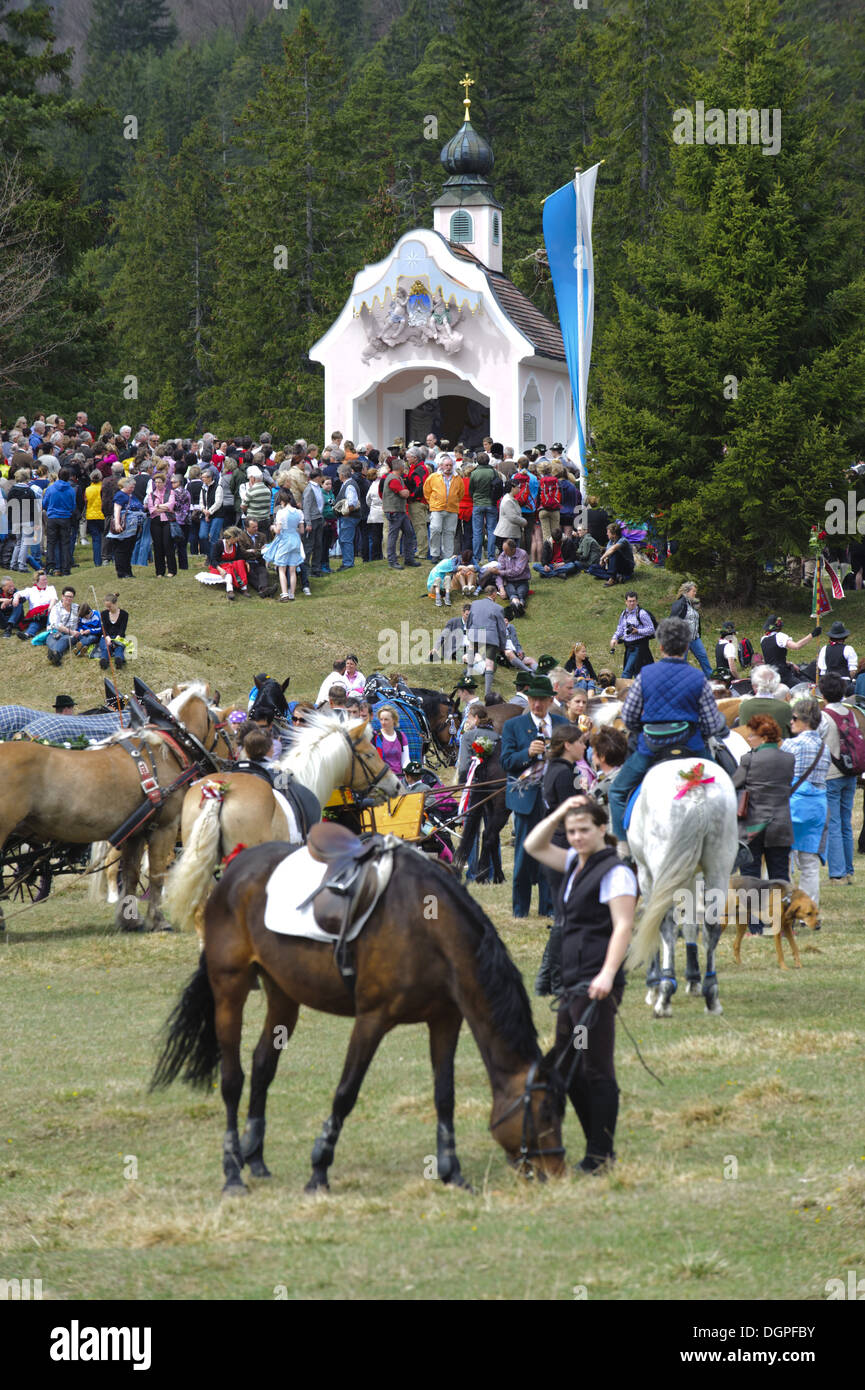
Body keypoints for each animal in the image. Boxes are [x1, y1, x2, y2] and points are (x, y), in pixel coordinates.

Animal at [0, 686, 235, 934]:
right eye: (230, 732)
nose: (233, 764)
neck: (165, 752)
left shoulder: (136, 832)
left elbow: (131, 873)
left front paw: (128, 919)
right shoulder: (165, 827)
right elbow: (157, 873)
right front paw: (158, 921)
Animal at [150, 834, 570, 1195]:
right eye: (546, 1112)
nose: (557, 1171)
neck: (427, 927)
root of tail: (233, 869)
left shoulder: (446, 1020)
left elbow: (444, 1096)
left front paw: (452, 1173)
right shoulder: (372, 1020)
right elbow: (345, 1093)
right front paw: (319, 1170)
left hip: (283, 992)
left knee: (263, 1063)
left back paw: (255, 1159)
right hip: (230, 988)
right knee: (232, 1079)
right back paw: (233, 1172)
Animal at [625, 756, 739, 1017]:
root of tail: (695, 787)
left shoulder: (646, 874)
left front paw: (654, 985)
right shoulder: (691, 876)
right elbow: (690, 924)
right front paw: (694, 979)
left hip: (660, 868)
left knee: (665, 923)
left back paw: (664, 995)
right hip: (718, 866)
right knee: (711, 925)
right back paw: (711, 995)